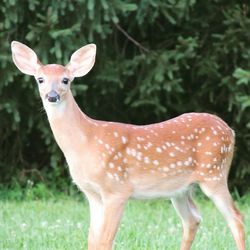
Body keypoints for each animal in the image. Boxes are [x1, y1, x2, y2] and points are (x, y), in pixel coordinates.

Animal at [10, 41, 245, 250]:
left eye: (66, 80)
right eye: (40, 79)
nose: (52, 96)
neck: (85, 142)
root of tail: (230, 131)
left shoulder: (117, 189)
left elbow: (105, 241)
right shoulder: (92, 194)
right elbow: (92, 241)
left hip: (214, 173)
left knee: (236, 218)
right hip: (179, 188)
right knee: (193, 219)